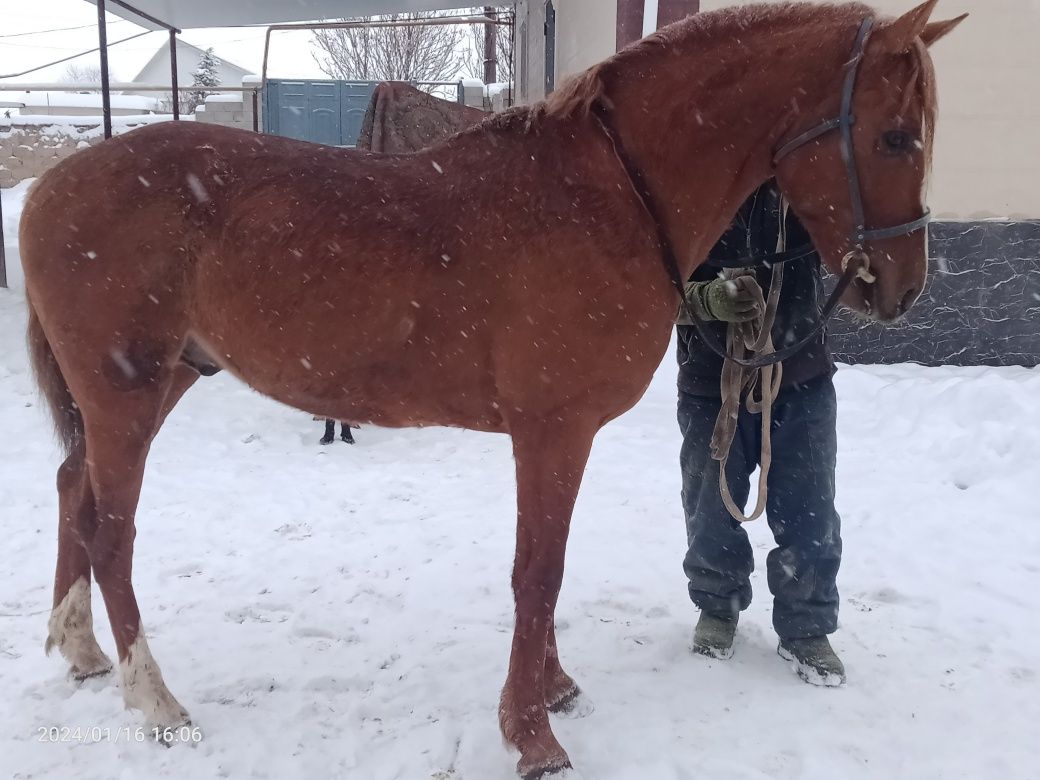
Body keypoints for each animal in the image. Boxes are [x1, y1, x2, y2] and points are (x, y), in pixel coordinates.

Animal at [20, 3, 956, 777]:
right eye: (896, 138)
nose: (902, 288)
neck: (612, 196)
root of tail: (49, 187)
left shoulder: (558, 438)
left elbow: (547, 573)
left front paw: (553, 689)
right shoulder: (553, 432)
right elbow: (537, 574)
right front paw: (532, 735)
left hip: (156, 385)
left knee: (71, 491)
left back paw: (82, 650)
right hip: (127, 394)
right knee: (111, 532)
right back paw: (157, 702)